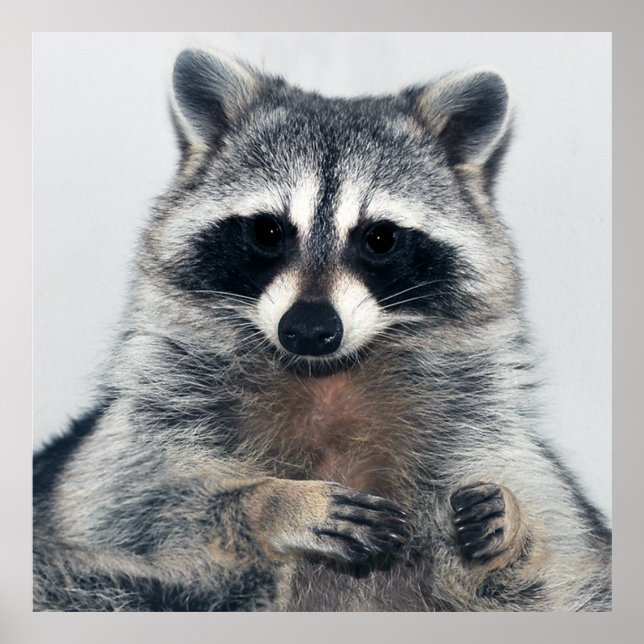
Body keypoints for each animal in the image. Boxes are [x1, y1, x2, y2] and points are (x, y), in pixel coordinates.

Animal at [33, 48, 612, 611]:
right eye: (268, 231)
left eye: (380, 238)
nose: (309, 329)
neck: (325, 376)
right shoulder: (149, 429)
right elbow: (138, 509)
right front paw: (273, 502)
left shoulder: (479, 431)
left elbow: (556, 561)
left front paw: (511, 531)